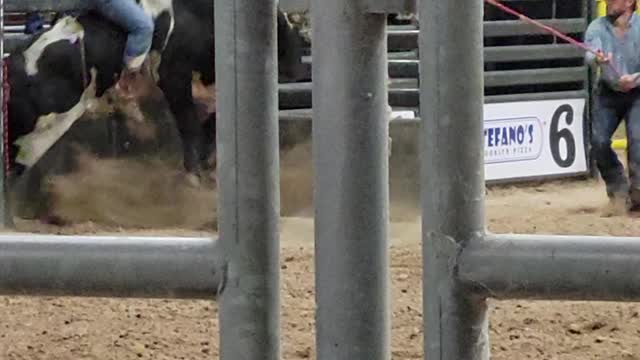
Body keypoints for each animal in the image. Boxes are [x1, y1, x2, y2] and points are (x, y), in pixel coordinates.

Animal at [6, 0, 308, 183]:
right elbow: (188, 124)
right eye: (284, 30)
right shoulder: (174, 75)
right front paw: (193, 173)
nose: (296, 68)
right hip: (32, 135)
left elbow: (210, 123)